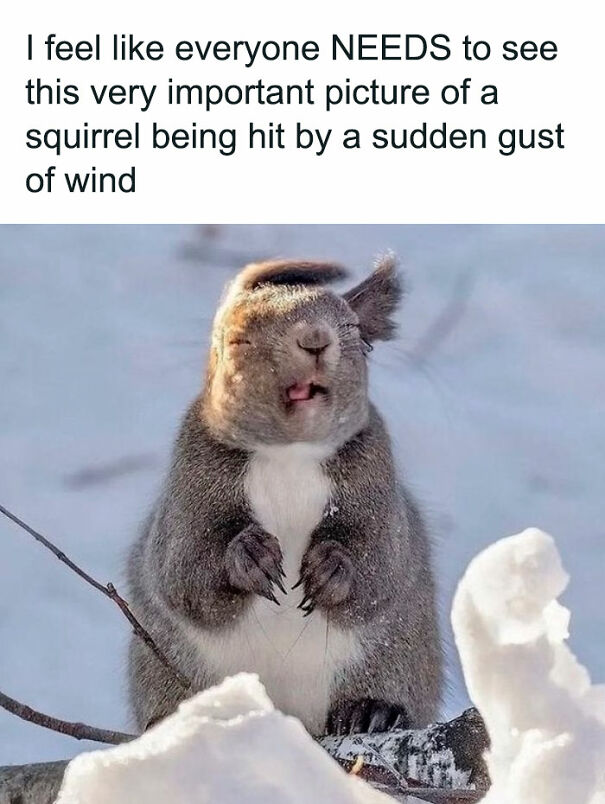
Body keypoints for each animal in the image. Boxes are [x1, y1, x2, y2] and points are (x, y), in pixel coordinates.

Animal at [127, 254, 442, 736]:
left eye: (351, 329)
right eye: (237, 338)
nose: (314, 339)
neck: (290, 455)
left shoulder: (377, 483)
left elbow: (381, 563)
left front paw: (333, 567)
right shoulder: (189, 484)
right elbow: (183, 571)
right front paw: (248, 556)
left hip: (397, 659)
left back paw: (371, 710)